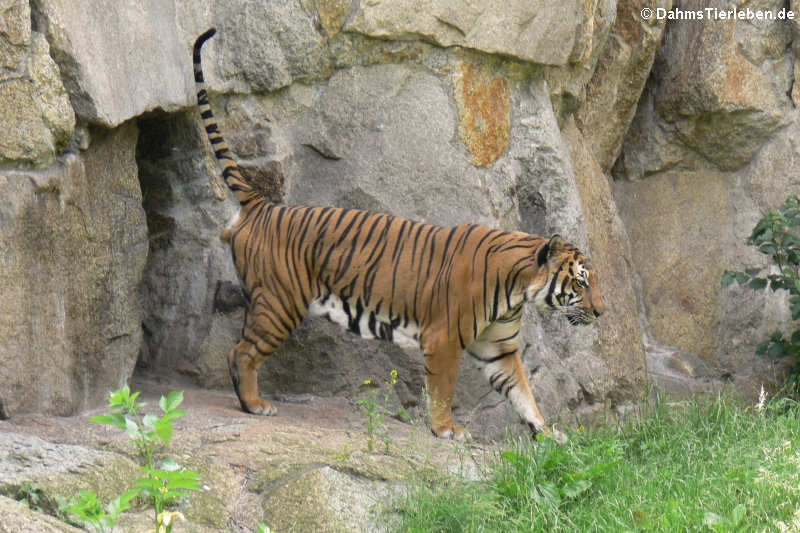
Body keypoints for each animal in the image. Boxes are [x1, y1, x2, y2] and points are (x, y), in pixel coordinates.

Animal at [192, 29, 608, 440]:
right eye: (581, 283)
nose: (602, 313)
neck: (517, 292)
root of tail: (262, 205)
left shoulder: (498, 349)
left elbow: (523, 391)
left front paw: (548, 432)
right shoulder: (444, 337)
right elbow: (443, 388)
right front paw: (447, 429)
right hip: (279, 302)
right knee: (241, 353)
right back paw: (255, 405)